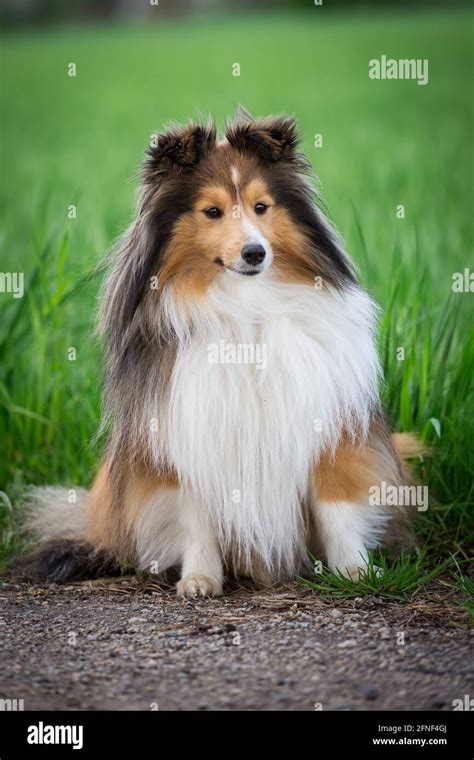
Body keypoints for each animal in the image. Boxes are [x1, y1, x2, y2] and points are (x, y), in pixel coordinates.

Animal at [24, 108, 420, 592]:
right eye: (212, 212)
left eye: (261, 207)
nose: (255, 253)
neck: (244, 307)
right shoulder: (182, 437)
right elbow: (195, 519)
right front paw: (199, 580)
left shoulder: (328, 424)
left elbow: (337, 507)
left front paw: (355, 571)